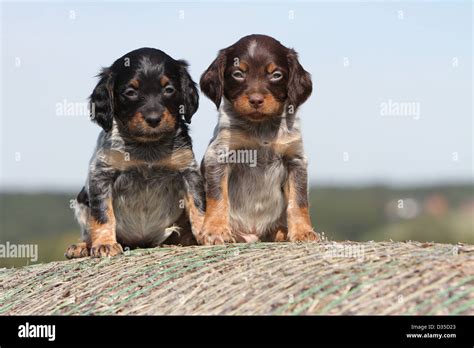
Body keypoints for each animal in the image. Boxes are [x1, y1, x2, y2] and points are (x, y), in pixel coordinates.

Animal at [65, 47, 204, 256]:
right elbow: (103, 214)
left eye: (169, 89)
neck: (146, 146)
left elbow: (198, 205)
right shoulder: (101, 173)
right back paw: (82, 246)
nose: (153, 119)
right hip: (82, 201)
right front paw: (104, 244)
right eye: (130, 92)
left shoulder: (188, 169)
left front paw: (210, 232)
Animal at [198, 34, 320, 243]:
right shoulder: (218, 155)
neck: (260, 128)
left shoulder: (295, 159)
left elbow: (299, 200)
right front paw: (215, 230)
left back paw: (282, 232)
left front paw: (303, 231)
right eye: (238, 74)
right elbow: (217, 196)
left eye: (276, 75)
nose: (256, 100)